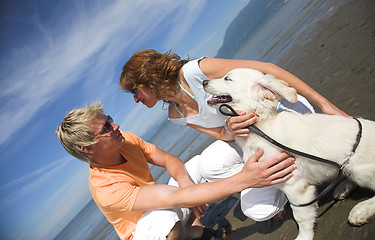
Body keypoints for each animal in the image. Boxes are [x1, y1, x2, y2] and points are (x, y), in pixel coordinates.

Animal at [204, 68, 374, 240]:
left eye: (227, 79)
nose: (204, 82)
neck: (260, 128)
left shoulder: (295, 186)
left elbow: (300, 215)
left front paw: (304, 236)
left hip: (357, 169)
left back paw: (360, 211)